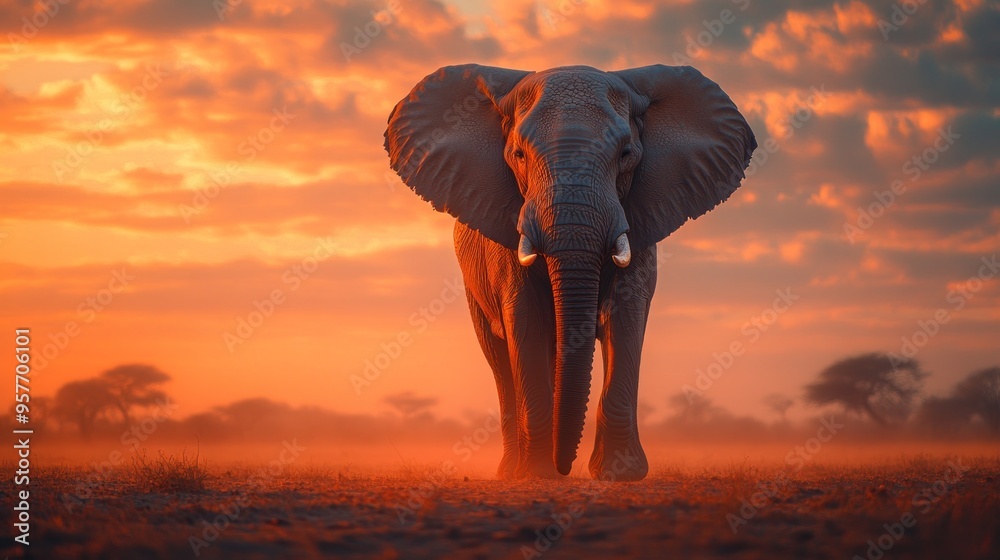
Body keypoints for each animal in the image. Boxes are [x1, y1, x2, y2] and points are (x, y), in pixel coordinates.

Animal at [384, 64, 756, 481]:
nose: (565, 468)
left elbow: (626, 318)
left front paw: (619, 474)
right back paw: (511, 471)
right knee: (499, 359)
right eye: (518, 155)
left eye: (626, 154)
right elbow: (526, 320)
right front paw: (536, 475)